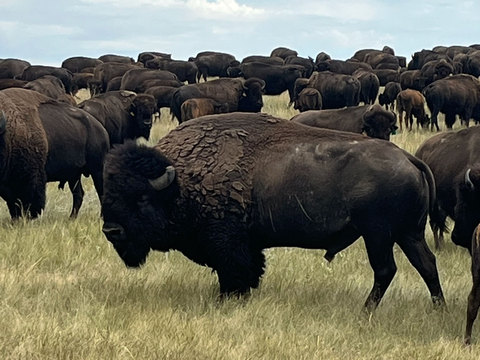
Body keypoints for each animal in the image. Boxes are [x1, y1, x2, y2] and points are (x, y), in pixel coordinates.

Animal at [101, 112, 446, 312]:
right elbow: (251, 270)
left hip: (378, 235)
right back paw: (438, 309)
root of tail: (408, 158)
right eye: (108, 193)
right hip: (408, 233)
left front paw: (226, 301)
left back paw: (365, 311)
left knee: (385, 270)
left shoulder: (228, 244)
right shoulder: (248, 245)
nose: (111, 230)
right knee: (426, 264)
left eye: (142, 198)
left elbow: (234, 273)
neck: (181, 182)